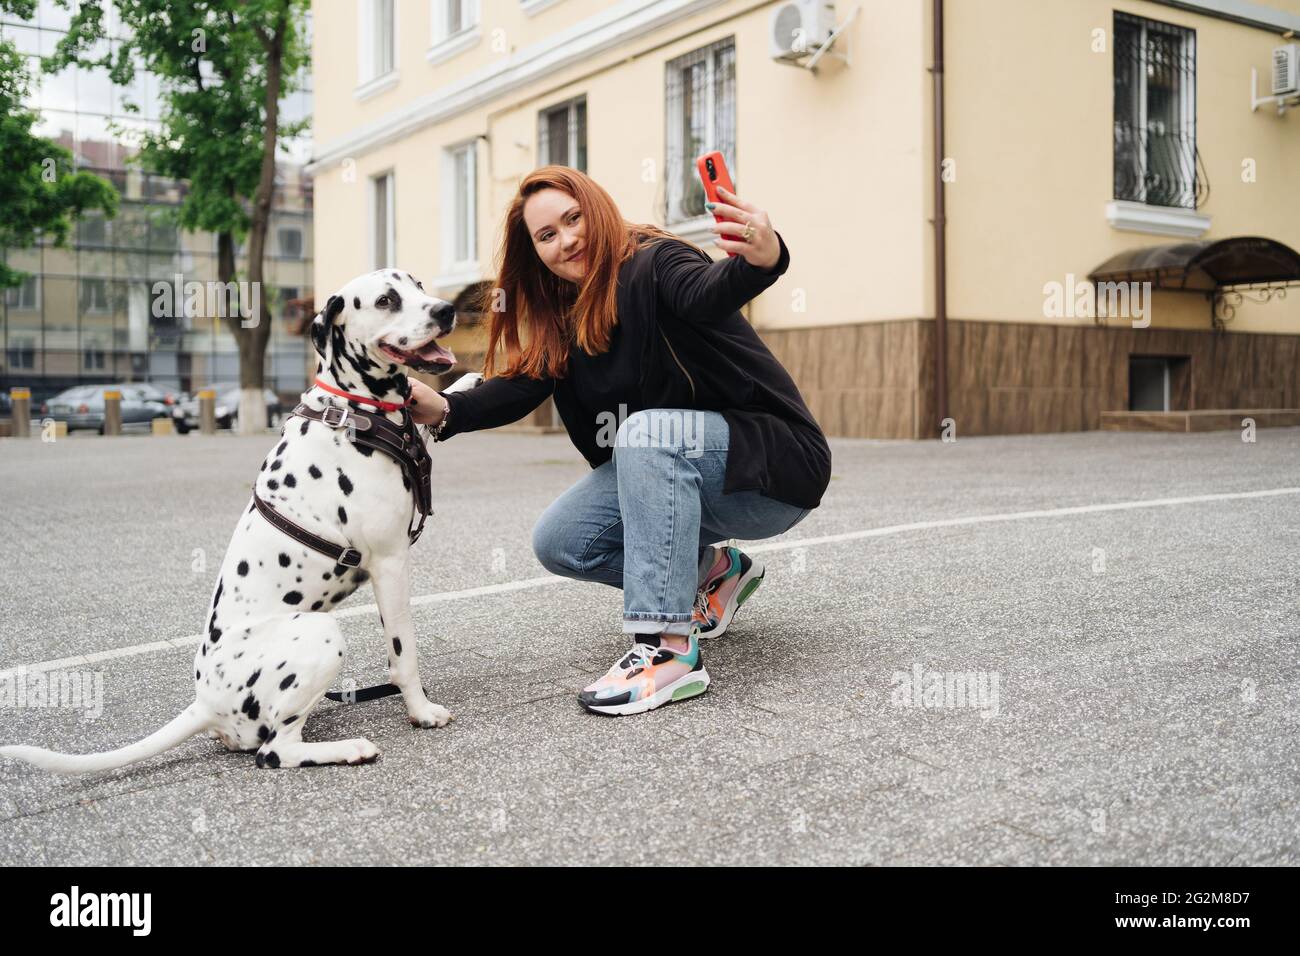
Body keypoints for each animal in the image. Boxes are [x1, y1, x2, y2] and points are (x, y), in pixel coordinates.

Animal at [1, 267, 488, 770]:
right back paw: (349, 748)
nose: (445, 310)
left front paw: (465, 383)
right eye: (387, 300)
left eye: (418, 286)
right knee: (276, 751)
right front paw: (421, 710)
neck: (351, 409)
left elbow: (429, 412)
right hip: (321, 634)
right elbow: (404, 653)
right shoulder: (390, 565)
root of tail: (205, 704)